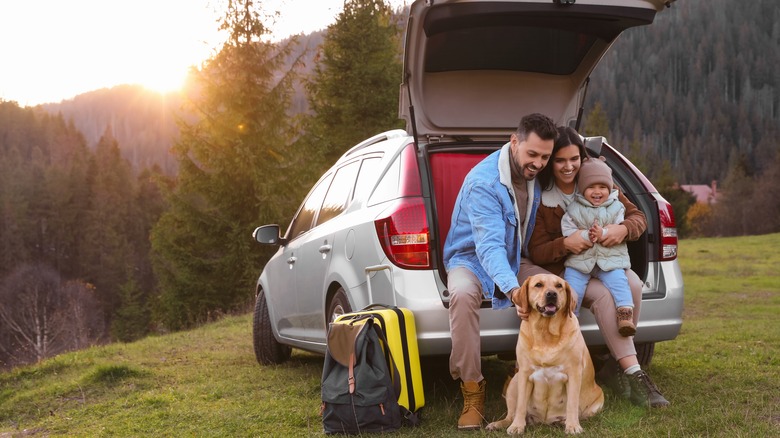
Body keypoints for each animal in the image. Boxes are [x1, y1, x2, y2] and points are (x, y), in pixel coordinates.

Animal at [488, 274, 604, 434]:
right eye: (538, 285)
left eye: (559, 286)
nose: (552, 294)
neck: (545, 333)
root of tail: (544, 421)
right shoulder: (524, 374)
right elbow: (521, 405)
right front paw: (517, 426)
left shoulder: (574, 374)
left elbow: (572, 403)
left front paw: (573, 426)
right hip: (514, 382)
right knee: (510, 415)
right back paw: (498, 424)